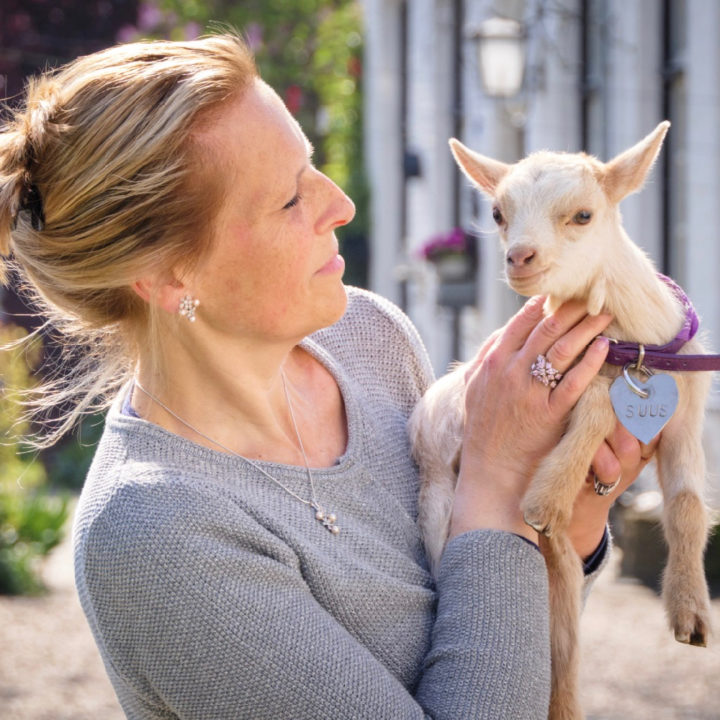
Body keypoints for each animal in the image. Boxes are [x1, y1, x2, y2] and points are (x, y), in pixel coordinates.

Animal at [410, 122, 716, 720]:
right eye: (497, 213)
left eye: (583, 215)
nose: (519, 257)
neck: (631, 345)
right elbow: (596, 405)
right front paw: (548, 497)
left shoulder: (684, 425)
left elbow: (690, 506)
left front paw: (691, 614)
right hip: (442, 510)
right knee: (560, 634)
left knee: (562, 632)